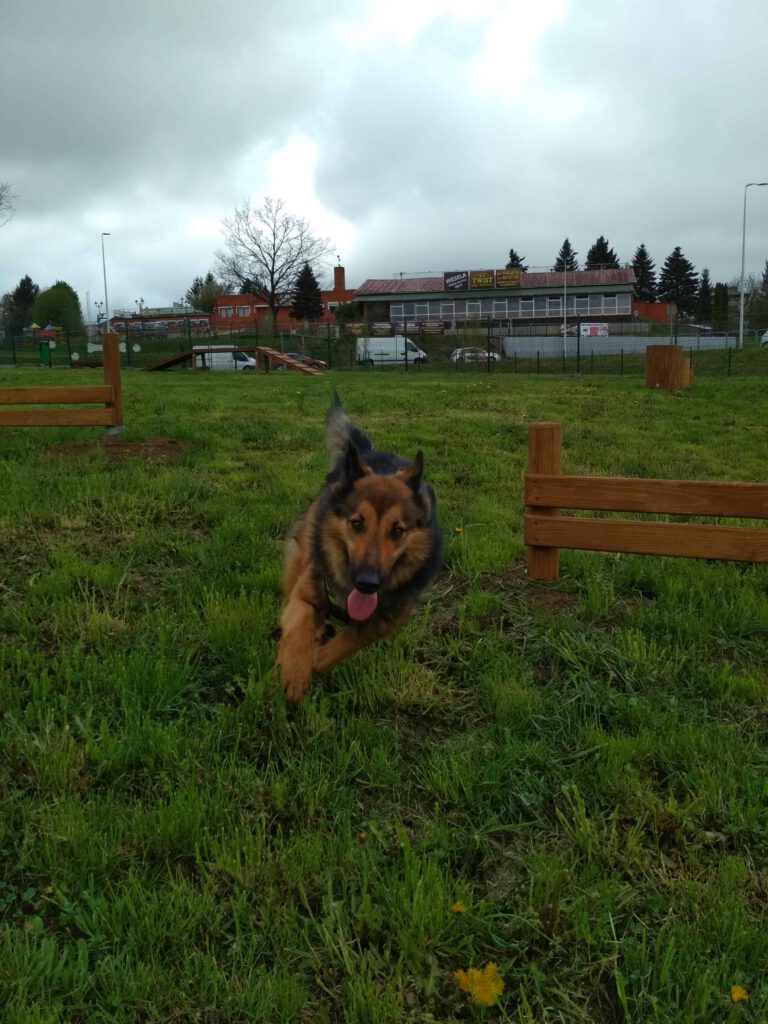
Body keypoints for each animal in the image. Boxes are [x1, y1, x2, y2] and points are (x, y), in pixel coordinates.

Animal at [276, 393, 444, 704]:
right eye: (356, 523)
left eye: (397, 531)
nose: (367, 583)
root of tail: (366, 452)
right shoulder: (307, 592)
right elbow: (299, 625)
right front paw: (294, 671)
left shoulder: (383, 623)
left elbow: (345, 644)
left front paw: (315, 661)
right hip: (302, 554)